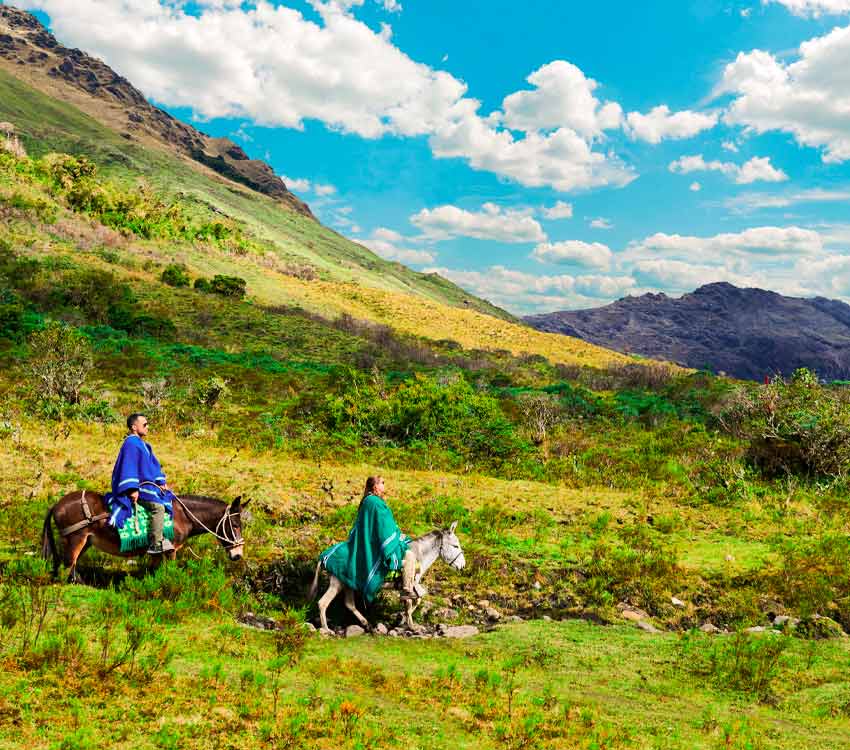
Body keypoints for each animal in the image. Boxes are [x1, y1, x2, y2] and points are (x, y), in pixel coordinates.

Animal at [41, 490, 247, 584]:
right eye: (235, 525)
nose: (237, 555)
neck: (181, 515)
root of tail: (57, 504)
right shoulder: (170, 549)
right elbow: (168, 571)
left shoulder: (156, 551)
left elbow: (152, 571)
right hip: (76, 538)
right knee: (69, 563)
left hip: (86, 542)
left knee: (72, 563)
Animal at [308, 524, 464, 636]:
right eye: (455, 546)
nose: (462, 566)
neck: (418, 555)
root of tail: (324, 555)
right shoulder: (409, 584)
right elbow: (410, 602)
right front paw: (411, 625)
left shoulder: (412, 586)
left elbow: (416, 600)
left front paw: (403, 621)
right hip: (337, 583)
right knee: (323, 603)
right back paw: (327, 629)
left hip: (347, 583)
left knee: (349, 604)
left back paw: (366, 623)